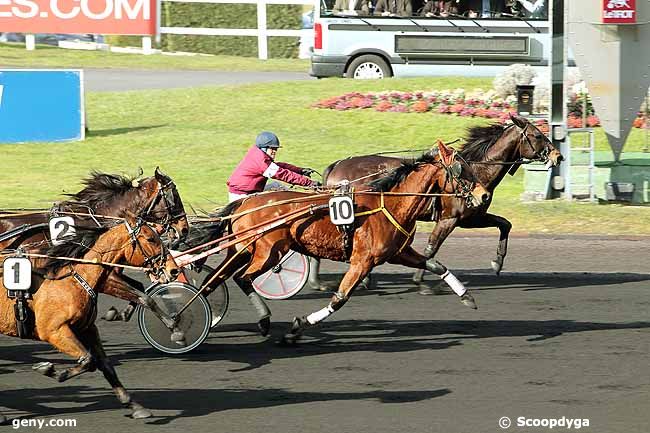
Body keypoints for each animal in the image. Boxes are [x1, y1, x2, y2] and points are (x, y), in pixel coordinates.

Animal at [0, 218, 180, 420]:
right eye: (150, 238)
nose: (174, 270)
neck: (74, 280)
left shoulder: (87, 328)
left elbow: (105, 365)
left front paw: (133, 405)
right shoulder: (55, 331)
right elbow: (89, 360)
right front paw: (48, 369)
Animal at [187, 141, 486, 340]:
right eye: (461, 169)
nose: (483, 195)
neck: (388, 204)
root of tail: (244, 203)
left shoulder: (397, 253)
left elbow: (436, 265)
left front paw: (467, 296)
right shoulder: (362, 261)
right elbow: (340, 298)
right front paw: (299, 326)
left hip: (242, 250)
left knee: (215, 278)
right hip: (269, 252)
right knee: (242, 278)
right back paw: (260, 319)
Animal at [316, 115, 560, 294]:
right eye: (537, 135)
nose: (558, 156)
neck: (475, 170)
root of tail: (337, 165)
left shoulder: (470, 218)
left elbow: (504, 224)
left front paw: (497, 262)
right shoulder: (449, 219)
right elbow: (432, 247)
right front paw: (421, 282)